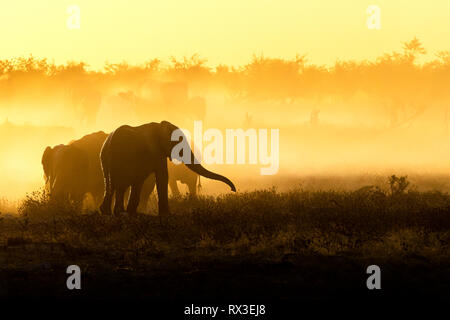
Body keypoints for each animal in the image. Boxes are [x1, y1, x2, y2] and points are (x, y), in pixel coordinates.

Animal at [100, 120, 237, 215]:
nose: (233, 190)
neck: (160, 127)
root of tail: (110, 144)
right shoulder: (156, 151)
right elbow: (162, 176)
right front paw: (167, 214)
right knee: (120, 183)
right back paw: (119, 212)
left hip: (105, 159)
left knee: (112, 183)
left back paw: (109, 212)